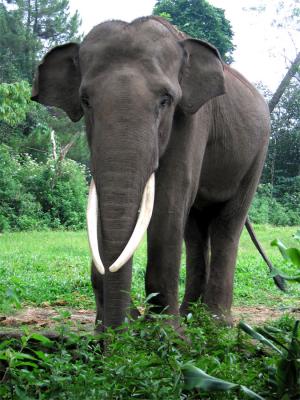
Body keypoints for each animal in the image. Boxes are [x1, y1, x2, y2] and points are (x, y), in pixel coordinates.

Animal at [31, 14, 270, 328]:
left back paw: (215, 322)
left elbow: (171, 196)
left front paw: (165, 333)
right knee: (194, 227)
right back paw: (191, 314)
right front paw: (114, 327)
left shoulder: (193, 118)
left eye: (165, 100)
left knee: (227, 222)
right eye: (86, 100)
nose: (117, 329)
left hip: (258, 153)